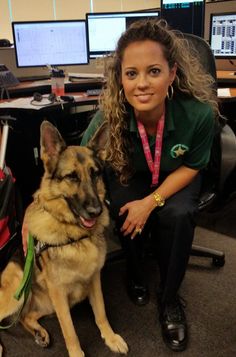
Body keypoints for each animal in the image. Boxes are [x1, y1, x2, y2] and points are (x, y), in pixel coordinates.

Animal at [0, 121, 128, 354]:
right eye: (72, 177)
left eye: (95, 174)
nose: (96, 211)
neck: (76, 236)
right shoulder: (59, 294)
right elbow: (70, 331)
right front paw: (77, 353)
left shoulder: (94, 280)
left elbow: (101, 313)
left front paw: (110, 337)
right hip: (18, 287)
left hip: (45, 304)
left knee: (24, 316)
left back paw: (39, 333)